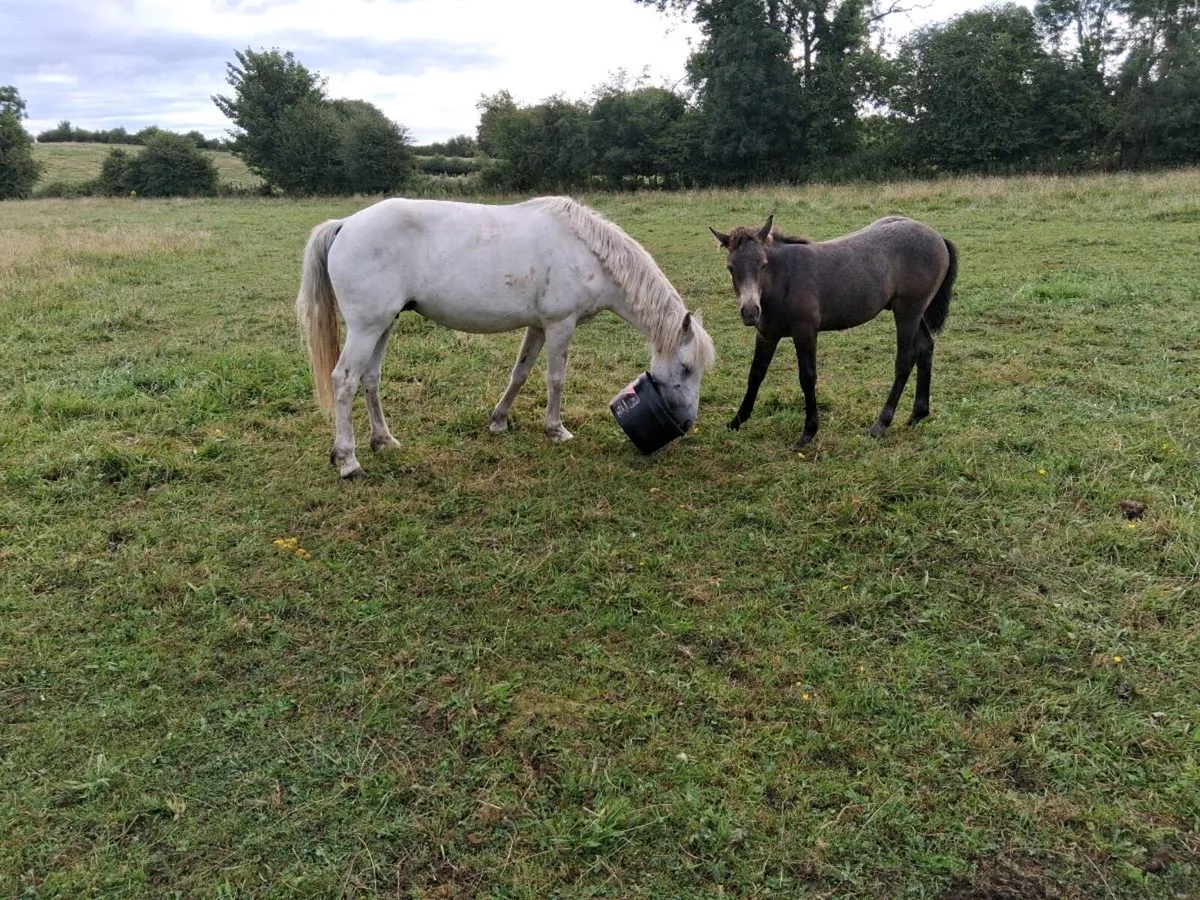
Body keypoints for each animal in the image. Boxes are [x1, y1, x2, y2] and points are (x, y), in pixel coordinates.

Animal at [296, 196, 716, 478]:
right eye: (685, 367)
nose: (687, 423)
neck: (588, 253)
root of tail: (346, 224)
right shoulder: (560, 325)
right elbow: (555, 379)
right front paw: (556, 430)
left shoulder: (538, 325)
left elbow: (520, 373)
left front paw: (498, 421)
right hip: (366, 327)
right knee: (344, 381)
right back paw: (348, 461)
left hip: (383, 325)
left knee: (370, 379)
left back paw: (383, 441)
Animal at [709, 215, 957, 450]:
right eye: (731, 268)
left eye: (763, 264)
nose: (750, 312)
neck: (783, 280)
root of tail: (937, 237)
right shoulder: (766, 335)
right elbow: (755, 375)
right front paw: (736, 421)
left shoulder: (805, 331)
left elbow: (807, 377)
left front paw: (808, 432)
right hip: (915, 313)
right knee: (926, 348)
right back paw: (918, 414)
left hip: (908, 311)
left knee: (905, 359)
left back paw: (881, 424)